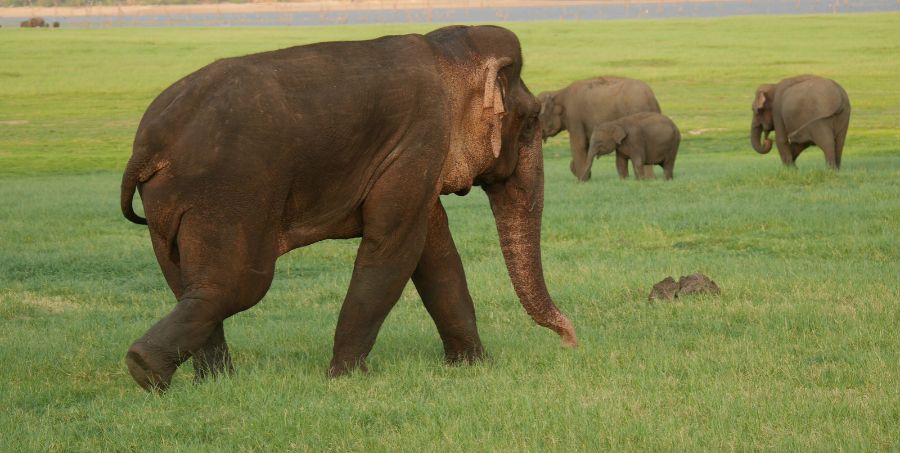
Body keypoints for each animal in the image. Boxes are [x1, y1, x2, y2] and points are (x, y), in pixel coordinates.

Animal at [120, 25, 577, 392]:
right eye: (531, 121)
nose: (570, 341)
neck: (444, 49)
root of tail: (149, 143)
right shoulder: (420, 139)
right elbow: (394, 249)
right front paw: (346, 377)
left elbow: (435, 252)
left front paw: (474, 367)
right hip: (227, 192)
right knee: (235, 285)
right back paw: (147, 370)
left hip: (167, 205)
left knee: (184, 280)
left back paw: (212, 382)